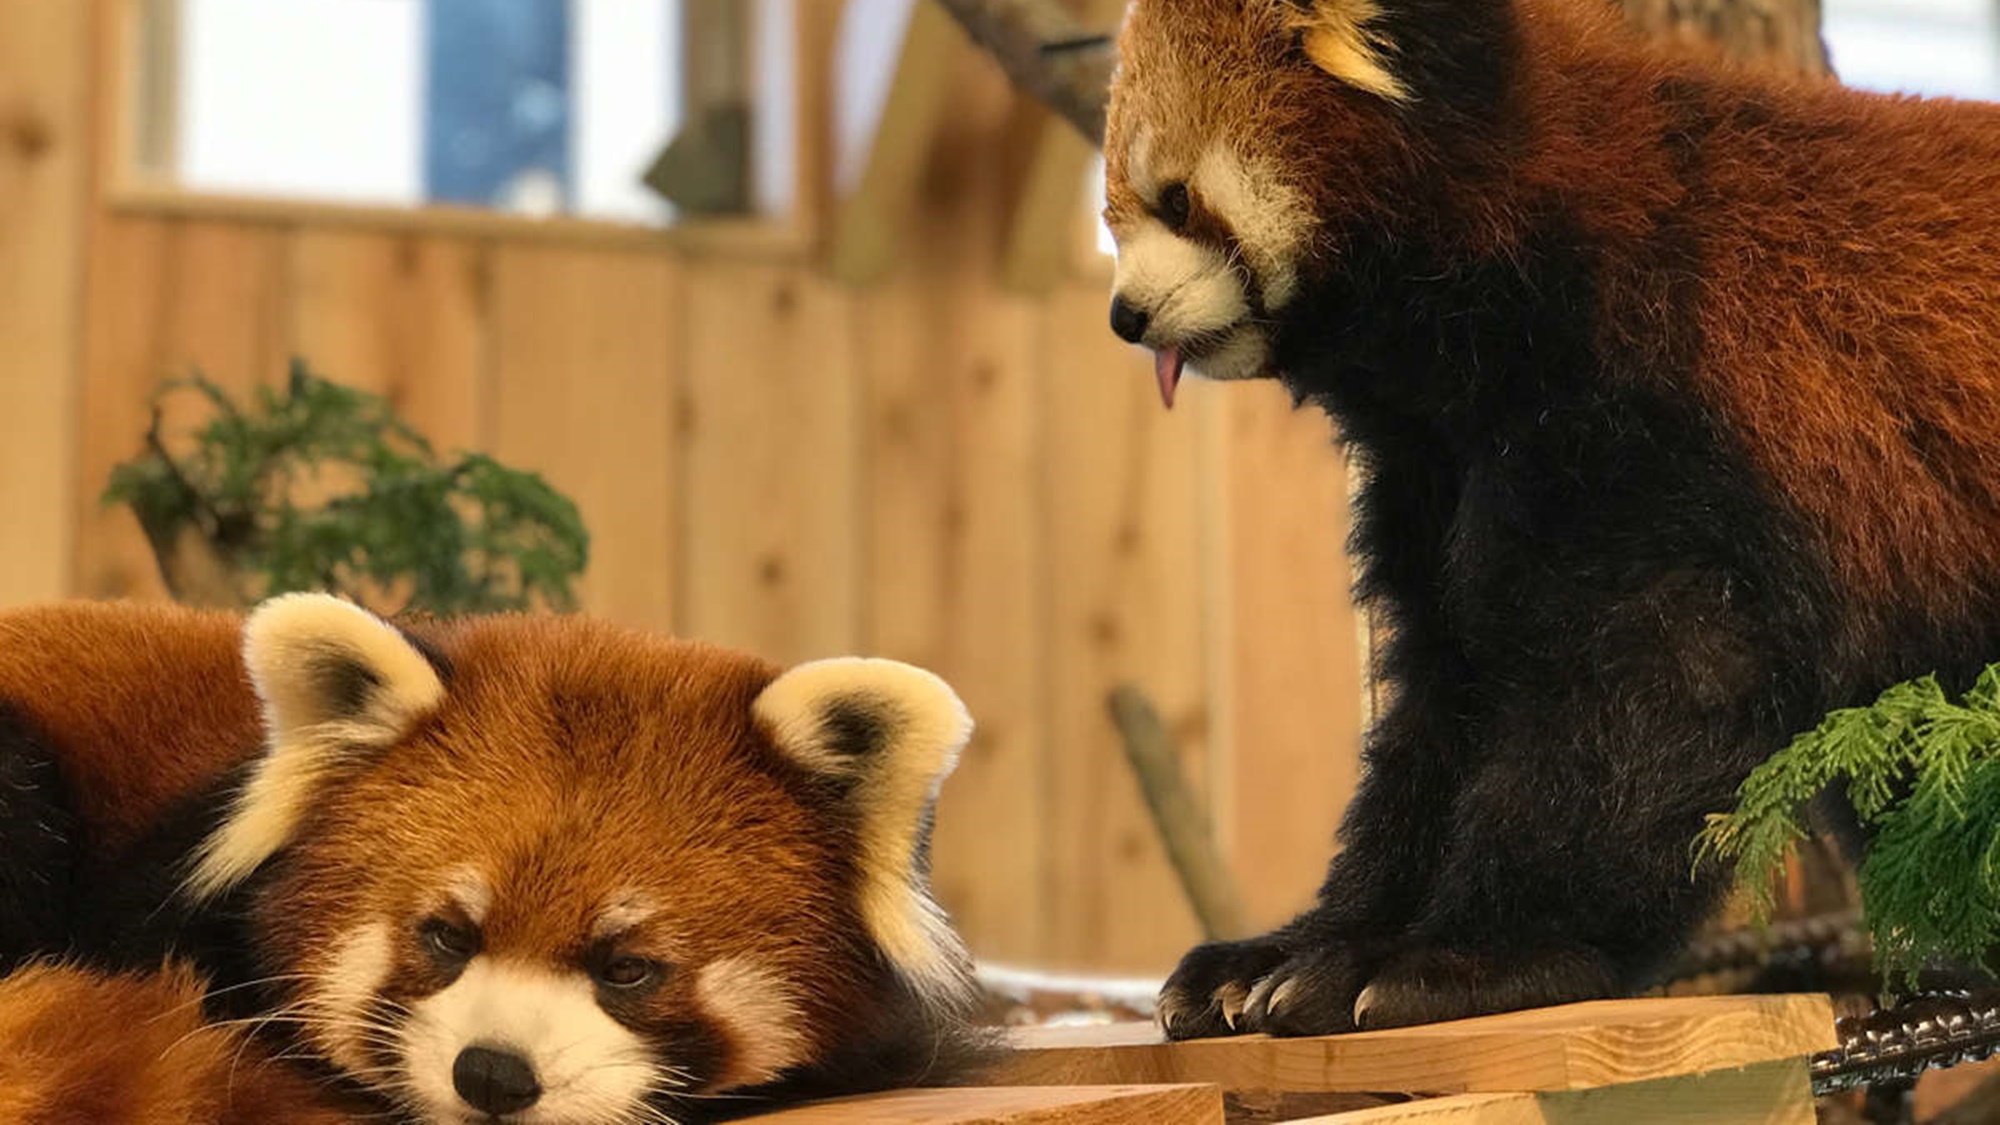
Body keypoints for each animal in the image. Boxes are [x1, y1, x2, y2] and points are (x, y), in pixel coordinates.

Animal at [1104, 0, 2000, 1032]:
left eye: (1175, 200)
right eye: (1116, 214)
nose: (1125, 315)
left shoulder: (1675, 402)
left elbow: (1638, 698)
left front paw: (1470, 956)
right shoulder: (1438, 462)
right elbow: (1450, 692)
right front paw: (1294, 949)